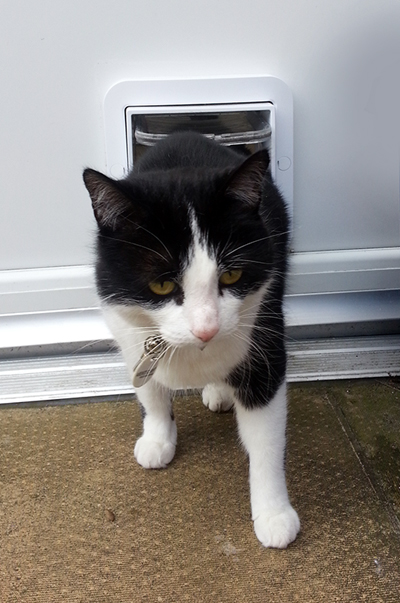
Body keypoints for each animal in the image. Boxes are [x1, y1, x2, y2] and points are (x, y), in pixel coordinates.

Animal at [83, 133, 298, 552]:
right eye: (161, 284)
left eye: (231, 275)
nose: (206, 329)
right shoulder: (127, 331)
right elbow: (148, 388)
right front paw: (157, 438)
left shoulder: (265, 338)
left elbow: (265, 440)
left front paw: (274, 514)